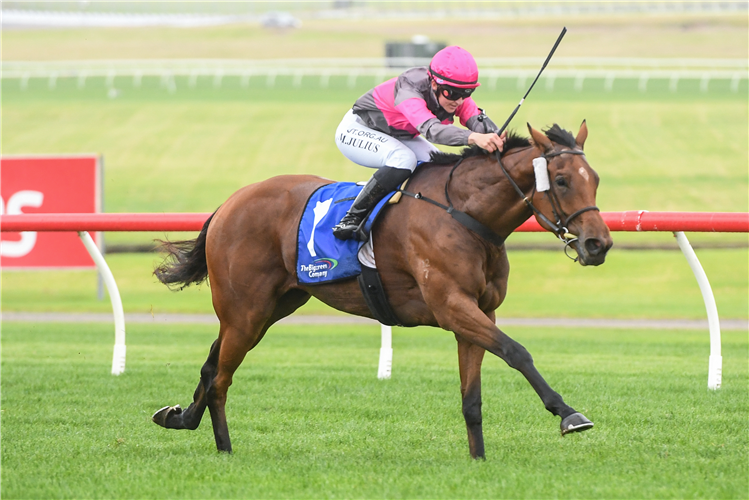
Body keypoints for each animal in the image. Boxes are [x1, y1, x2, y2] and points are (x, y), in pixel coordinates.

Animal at [153, 120, 612, 458]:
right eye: (562, 180)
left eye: (595, 179)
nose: (598, 244)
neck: (464, 214)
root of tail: (228, 204)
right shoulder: (452, 306)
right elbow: (517, 352)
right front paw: (569, 414)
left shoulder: (479, 311)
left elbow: (472, 397)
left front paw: (478, 459)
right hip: (245, 310)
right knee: (221, 377)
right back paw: (225, 449)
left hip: (269, 308)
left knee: (212, 364)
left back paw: (179, 417)